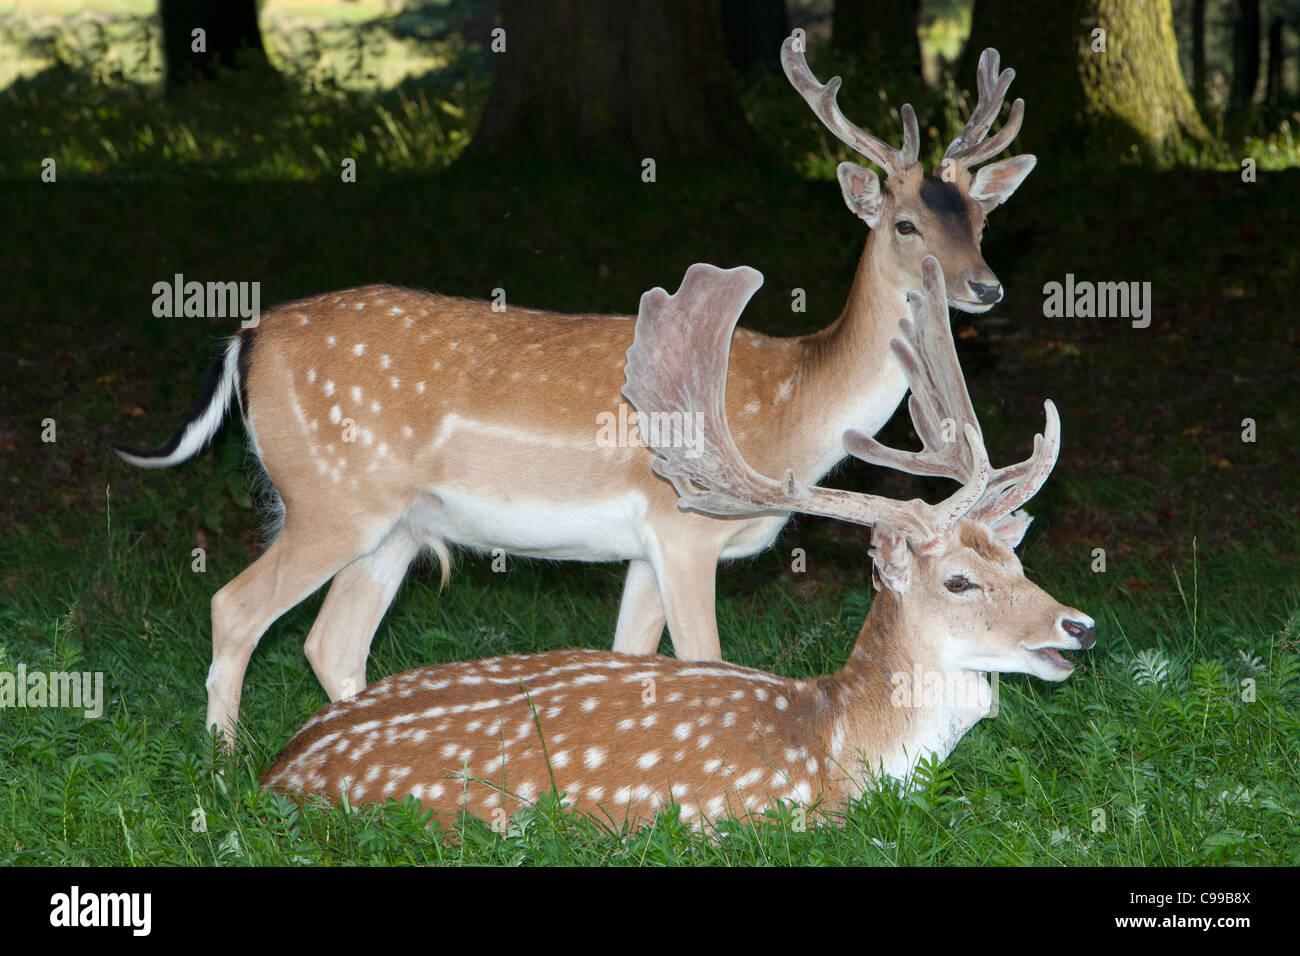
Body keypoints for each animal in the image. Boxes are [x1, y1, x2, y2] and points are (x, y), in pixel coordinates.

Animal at [114, 39, 1037, 748]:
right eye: (905, 224)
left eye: (982, 222)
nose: (986, 287)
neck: (793, 411)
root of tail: (248, 338)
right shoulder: (685, 527)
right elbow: (702, 660)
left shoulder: (643, 548)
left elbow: (630, 657)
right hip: (329, 500)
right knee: (234, 607)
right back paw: (227, 764)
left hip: (393, 529)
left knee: (330, 644)